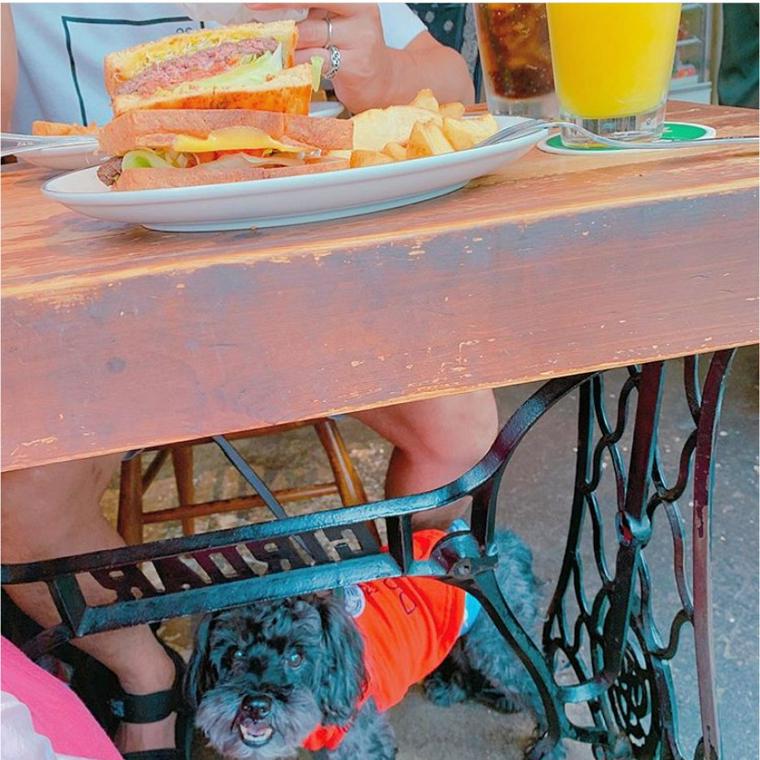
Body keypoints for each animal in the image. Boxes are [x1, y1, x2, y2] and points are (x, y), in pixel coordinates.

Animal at [187, 532, 560, 756]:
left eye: (296, 657)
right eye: (234, 653)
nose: (256, 705)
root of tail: (502, 544)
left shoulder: (358, 740)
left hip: (496, 645)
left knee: (540, 685)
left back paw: (548, 744)